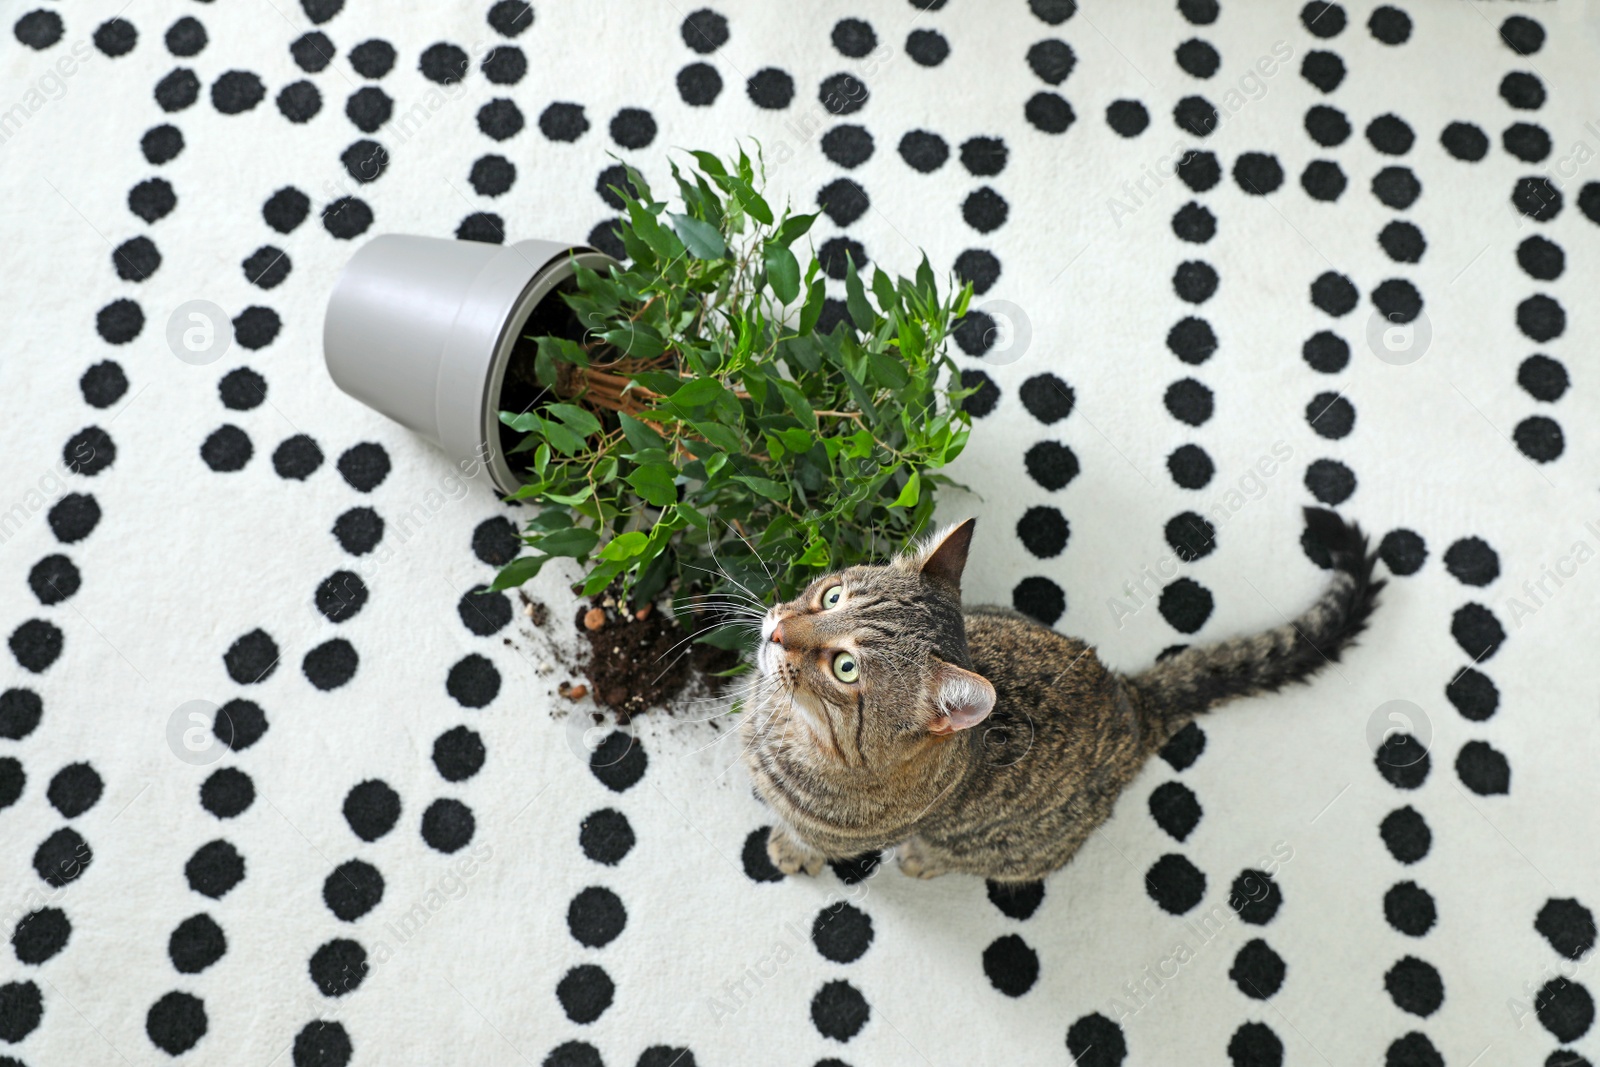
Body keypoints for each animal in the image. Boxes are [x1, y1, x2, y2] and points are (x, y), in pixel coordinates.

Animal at [742, 508, 1382, 883]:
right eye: (831, 596)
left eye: (846, 667)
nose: (777, 631)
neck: (783, 732)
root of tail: (1132, 703)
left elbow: (808, 839)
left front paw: (790, 851)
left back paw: (925, 860)